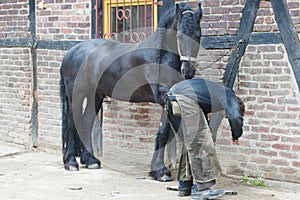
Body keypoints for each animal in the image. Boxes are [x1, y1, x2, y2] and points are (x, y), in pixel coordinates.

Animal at [60, 1, 203, 180]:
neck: (161, 56)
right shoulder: (163, 97)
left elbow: (167, 131)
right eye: (179, 37)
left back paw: (91, 160)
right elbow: (164, 132)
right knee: (72, 123)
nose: (188, 70)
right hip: (77, 94)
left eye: (198, 36)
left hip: (95, 95)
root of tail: (71, 53)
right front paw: (160, 171)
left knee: (86, 121)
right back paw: (71, 162)